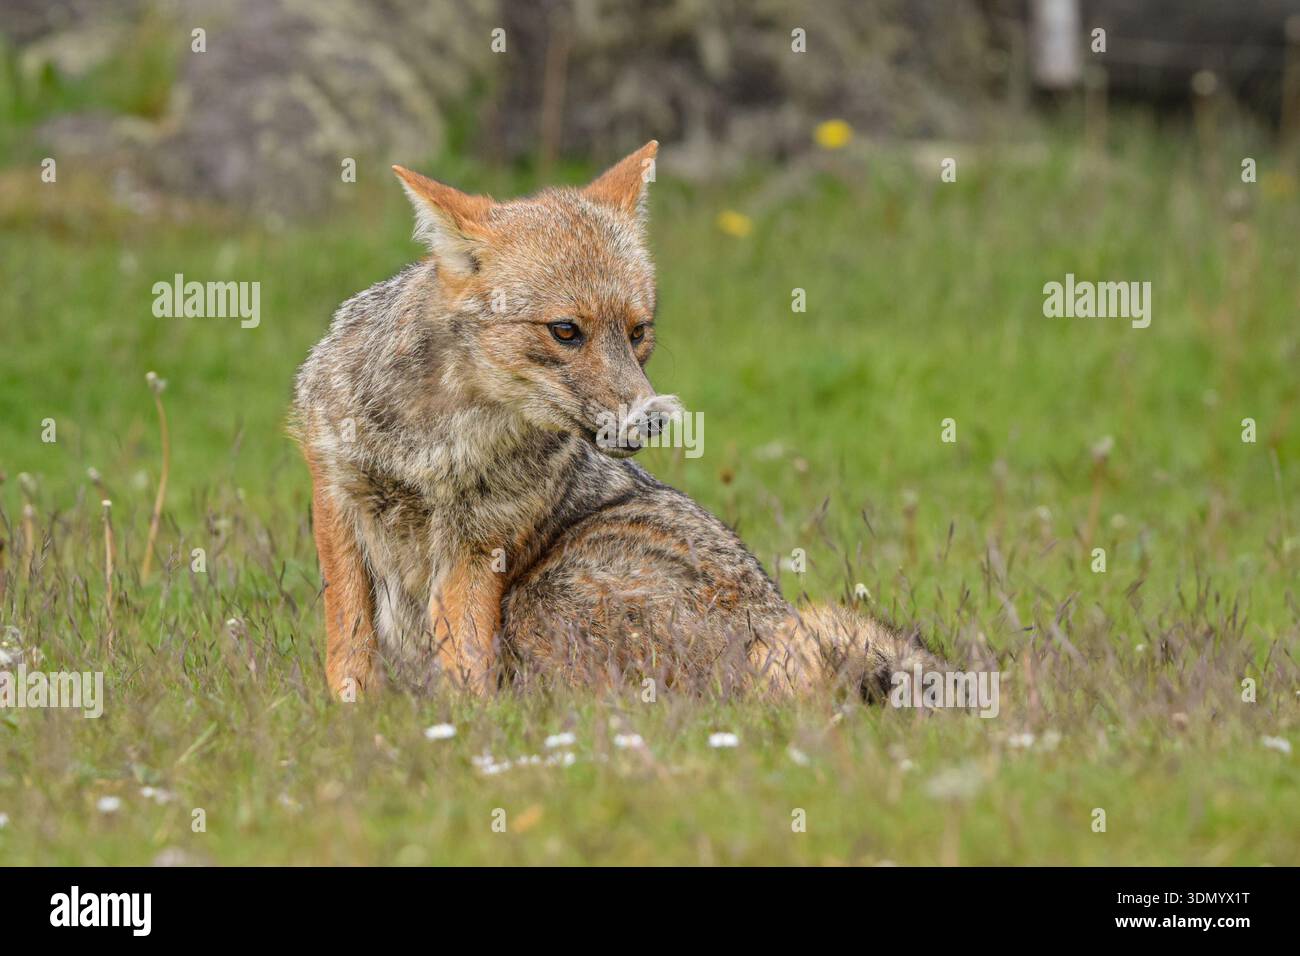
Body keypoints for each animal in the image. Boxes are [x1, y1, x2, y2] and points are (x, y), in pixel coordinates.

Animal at [292, 141, 942, 699]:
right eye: (564, 331)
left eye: (637, 332)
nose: (651, 421)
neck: (439, 445)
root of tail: (769, 627)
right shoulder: (337, 498)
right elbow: (349, 641)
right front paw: (355, 716)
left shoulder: (480, 547)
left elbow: (465, 659)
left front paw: (466, 727)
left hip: (541, 597)